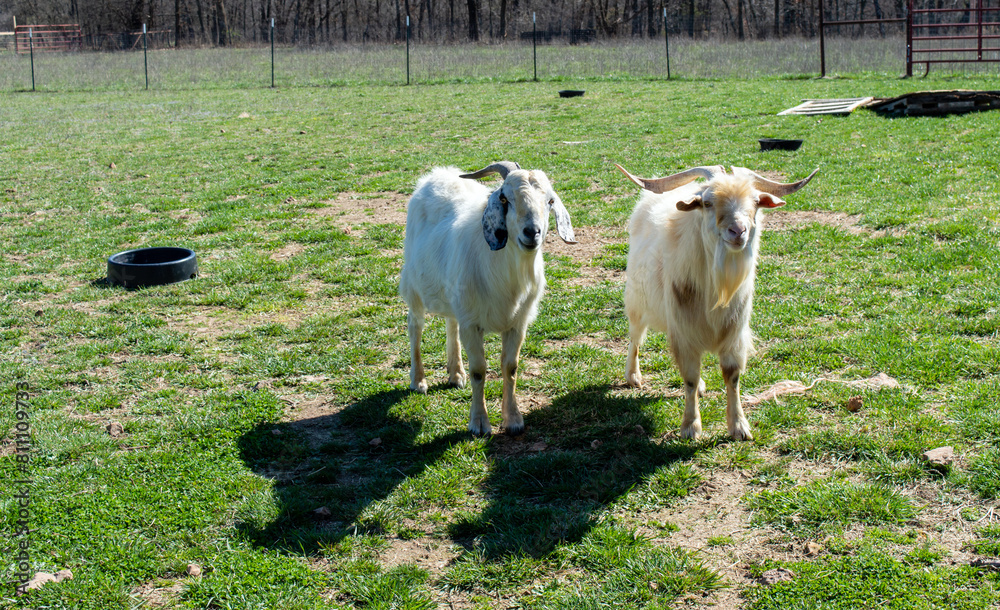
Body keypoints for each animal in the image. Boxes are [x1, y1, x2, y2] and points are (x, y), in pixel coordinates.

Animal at [399, 162, 576, 435]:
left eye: (550, 201)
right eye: (505, 199)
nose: (532, 232)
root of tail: (438, 173)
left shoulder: (517, 323)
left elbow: (510, 367)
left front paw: (513, 420)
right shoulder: (472, 324)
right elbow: (479, 370)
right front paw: (479, 423)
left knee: (451, 323)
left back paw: (455, 374)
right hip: (414, 285)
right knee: (415, 326)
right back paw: (418, 380)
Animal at [615, 163, 817, 440]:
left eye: (756, 202)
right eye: (708, 202)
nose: (738, 231)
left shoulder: (734, 332)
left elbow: (731, 376)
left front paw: (739, 427)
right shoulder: (684, 331)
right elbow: (689, 377)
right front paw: (690, 427)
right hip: (637, 300)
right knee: (635, 338)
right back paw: (633, 376)